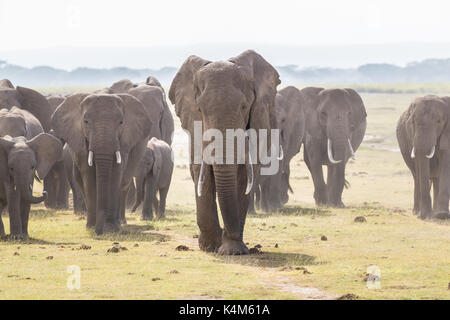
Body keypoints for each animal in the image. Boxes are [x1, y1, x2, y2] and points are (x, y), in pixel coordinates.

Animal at [0, 107, 62, 238]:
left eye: (33, 167)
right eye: (11, 168)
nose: (44, 192)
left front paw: (22, 236)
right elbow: (12, 193)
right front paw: (16, 237)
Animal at [51, 92, 151, 235]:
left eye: (121, 122)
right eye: (86, 121)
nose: (100, 231)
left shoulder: (124, 141)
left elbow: (116, 173)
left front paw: (111, 229)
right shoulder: (81, 140)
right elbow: (88, 176)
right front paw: (91, 227)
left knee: (124, 183)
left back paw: (120, 222)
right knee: (80, 181)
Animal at [169, 50, 280, 255]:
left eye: (244, 107)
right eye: (200, 109)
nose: (228, 234)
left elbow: (244, 176)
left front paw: (233, 250)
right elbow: (201, 171)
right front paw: (211, 247)